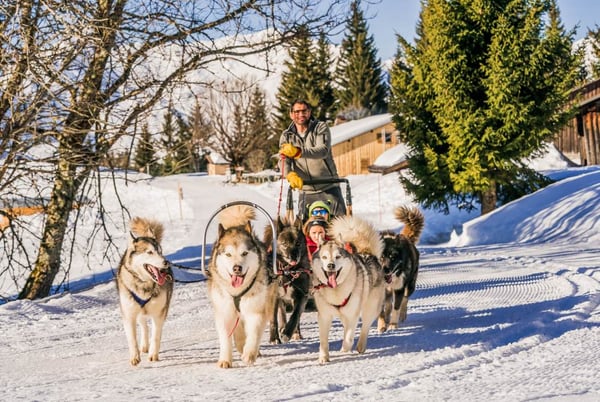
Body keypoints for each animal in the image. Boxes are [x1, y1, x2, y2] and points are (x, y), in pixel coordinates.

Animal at [116, 218, 173, 366]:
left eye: (160, 251)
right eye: (149, 252)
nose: (166, 262)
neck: (144, 284)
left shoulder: (159, 313)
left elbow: (156, 335)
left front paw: (153, 354)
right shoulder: (128, 314)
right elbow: (131, 338)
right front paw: (134, 357)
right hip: (139, 310)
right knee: (143, 326)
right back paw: (144, 345)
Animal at [206, 206, 276, 370]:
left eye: (244, 253)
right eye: (228, 254)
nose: (237, 268)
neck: (237, 291)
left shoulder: (256, 310)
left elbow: (254, 333)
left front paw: (249, 354)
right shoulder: (224, 312)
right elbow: (225, 337)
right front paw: (225, 359)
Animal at [262, 215, 310, 344]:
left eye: (298, 243)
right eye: (284, 244)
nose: (293, 257)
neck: (288, 271)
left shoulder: (301, 295)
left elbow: (295, 316)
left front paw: (288, 333)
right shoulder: (273, 296)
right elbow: (274, 320)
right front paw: (274, 338)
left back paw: (295, 333)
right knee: (281, 312)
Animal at [310, 215, 384, 362]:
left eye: (337, 256)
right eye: (324, 257)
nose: (331, 265)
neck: (336, 290)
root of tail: (367, 253)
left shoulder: (352, 315)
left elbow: (349, 338)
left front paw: (345, 348)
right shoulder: (324, 316)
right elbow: (323, 340)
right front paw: (323, 357)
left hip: (369, 308)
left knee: (365, 327)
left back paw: (360, 346)